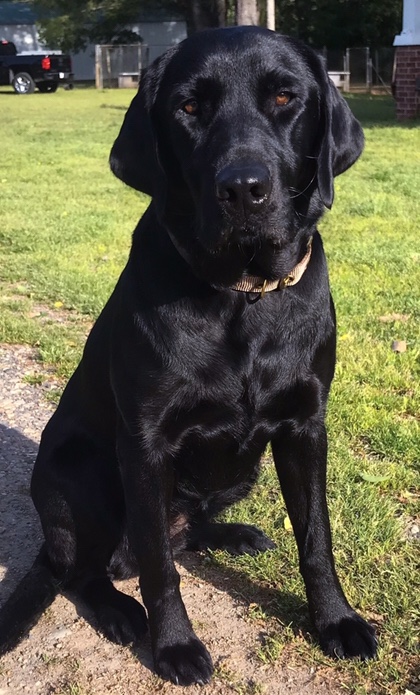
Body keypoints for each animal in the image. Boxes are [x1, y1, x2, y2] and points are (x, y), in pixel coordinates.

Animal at [0, 25, 378, 684]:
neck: (241, 296)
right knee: (90, 569)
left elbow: (316, 539)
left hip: (241, 470)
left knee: (183, 535)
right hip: (79, 472)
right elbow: (159, 568)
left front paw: (336, 620)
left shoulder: (306, 426)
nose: (244, 189)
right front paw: (174, 645)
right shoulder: (144, 445)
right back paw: (121, 610)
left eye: (286, 98)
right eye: (189, 107)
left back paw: (233, 535)